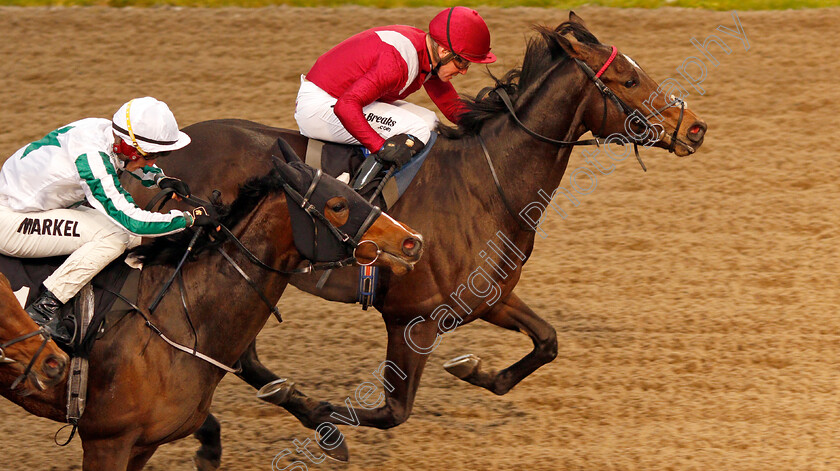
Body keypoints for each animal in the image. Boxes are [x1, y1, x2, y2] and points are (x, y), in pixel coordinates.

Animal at [0, 156, 420, 471]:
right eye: (337, 205)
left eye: (354, 191)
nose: (411, 241)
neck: (177, 317)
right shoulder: (107, 441)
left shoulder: (143, 445)